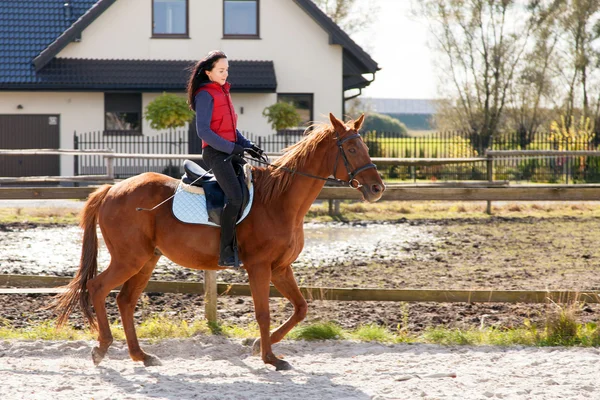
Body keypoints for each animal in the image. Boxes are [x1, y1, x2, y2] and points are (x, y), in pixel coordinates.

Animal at [51, 111, 384, 368]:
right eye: (351, 149)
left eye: (363, 146)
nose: (377, 188)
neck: (279, 200)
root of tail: (112, 189)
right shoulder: (259, 267)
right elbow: (263, 313)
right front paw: (270, 358)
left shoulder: (280, 268)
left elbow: (301, 308)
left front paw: (259, 346)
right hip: (129, 259)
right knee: (98, 287)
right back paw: (102, 347)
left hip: (146, 260)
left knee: (125, 300)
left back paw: (141, 355)